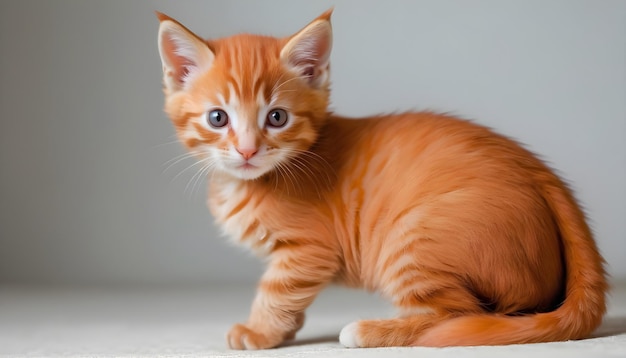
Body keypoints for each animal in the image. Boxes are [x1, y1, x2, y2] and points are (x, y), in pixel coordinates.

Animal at [156, 9, 604, 350]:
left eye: (277, 117)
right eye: (218, 118)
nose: (248, 150)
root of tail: (543, 175)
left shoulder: (310, 251)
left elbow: (276, 290)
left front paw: (260, 332)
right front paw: (286, 328)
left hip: (412, 239)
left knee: (458, 314)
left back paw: (370, 330)